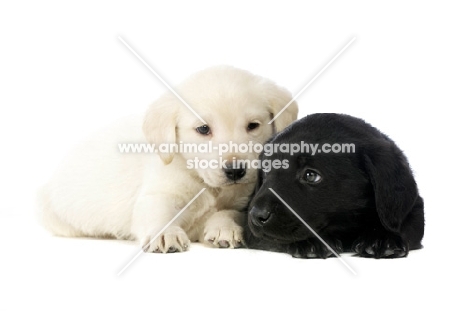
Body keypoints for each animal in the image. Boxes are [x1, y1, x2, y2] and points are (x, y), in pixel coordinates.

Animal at [38, 66, 298, 254]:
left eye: (253, 126)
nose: (235, 171)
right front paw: (164, 233)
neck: (205, 184)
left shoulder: (242, 201)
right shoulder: (160, 191)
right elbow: (157, 210)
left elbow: (229, 212)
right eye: (203, 129)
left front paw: (225, 229)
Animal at [245, 113, 424, 260]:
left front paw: (382, 238)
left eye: (311, 175)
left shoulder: (413, 210)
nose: (256, 215)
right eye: (266, 172)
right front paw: (313, 242)